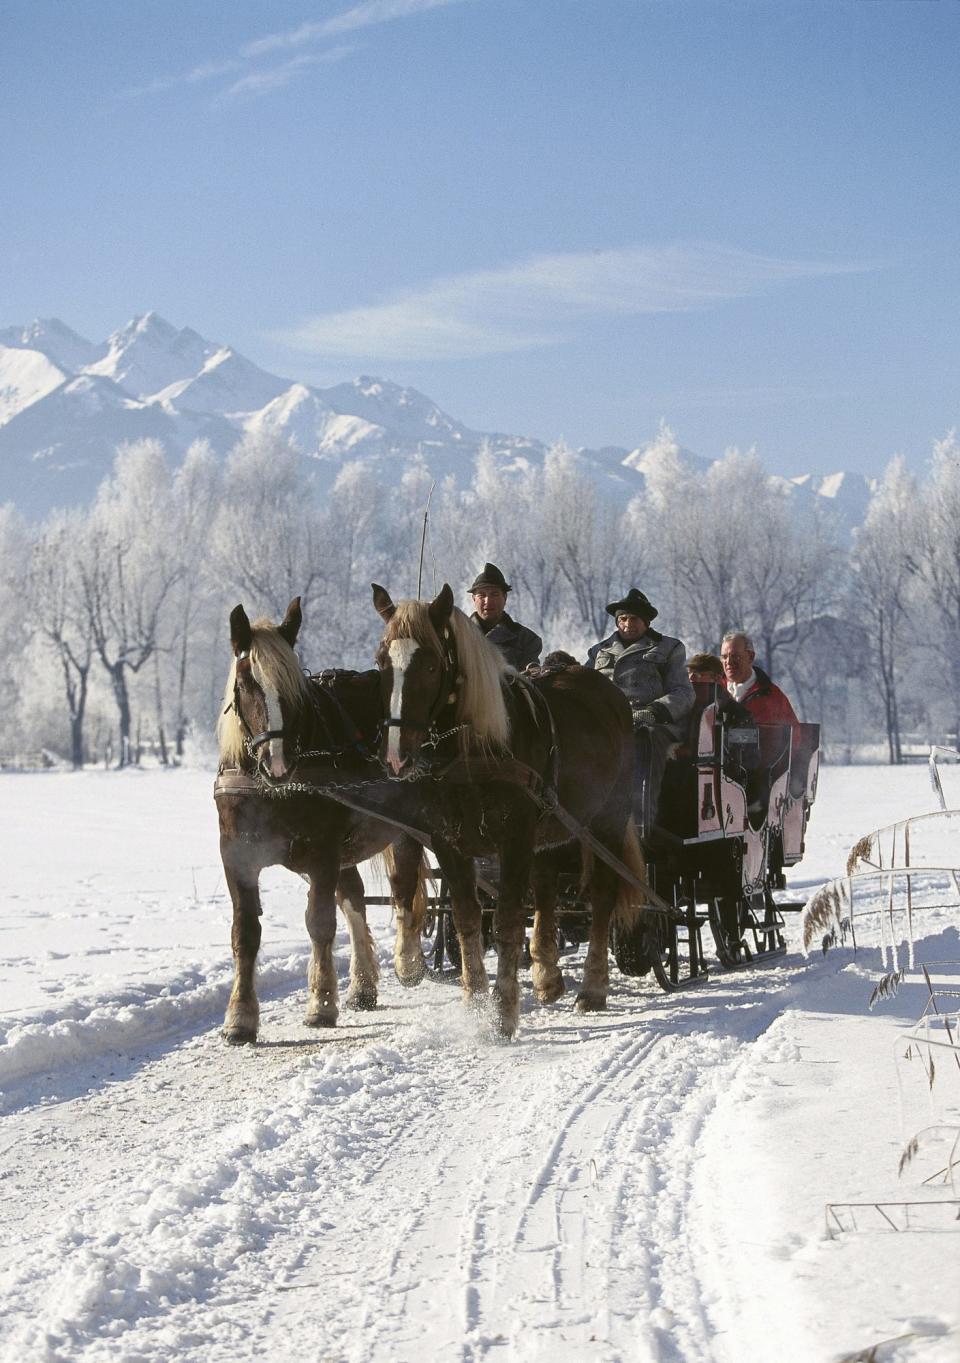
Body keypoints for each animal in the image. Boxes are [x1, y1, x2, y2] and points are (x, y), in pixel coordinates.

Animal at [219, 596, 428, 1041]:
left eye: (295, 688)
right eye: (246, 685)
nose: (278, 764)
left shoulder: (321, 853)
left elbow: (319, 923)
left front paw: (321, 1004)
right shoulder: (238, 858)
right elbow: (245, 932)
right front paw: (240, 1017)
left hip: (405, 829)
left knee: (402, 888)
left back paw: (408, 960)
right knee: (355, 899)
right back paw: (363, 986)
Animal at [370, 580, 649, 1035]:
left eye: (430, 665)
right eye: (381, 663)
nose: (396, 756)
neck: (475, 748)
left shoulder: (514, 838)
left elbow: (506, 920)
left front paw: (502, 1013)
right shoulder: (449, 841)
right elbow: (468, 918)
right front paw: (474, 1002)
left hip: (606, 820)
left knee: (602, 896)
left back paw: (592, 988)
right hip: (553, 824)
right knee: (548, 887)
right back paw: (548, 977)